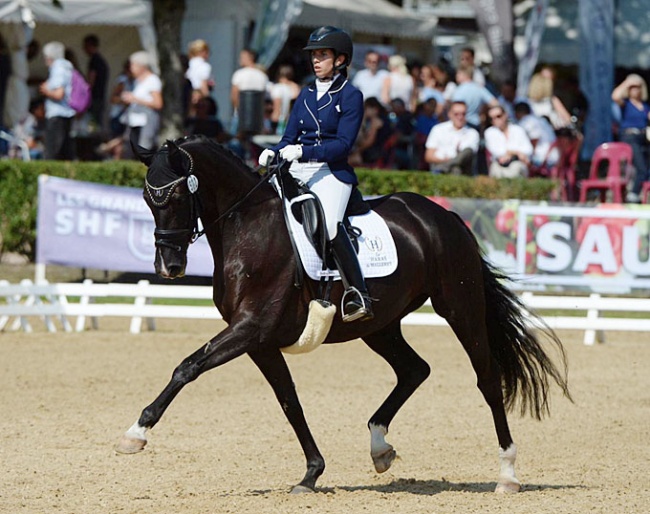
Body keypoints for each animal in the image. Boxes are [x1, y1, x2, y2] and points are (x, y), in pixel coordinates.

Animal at [116, 135, 568, 492]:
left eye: (176, 197)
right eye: (147, 199)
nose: (169, 266)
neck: (247, 229)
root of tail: (445, 215)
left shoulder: (251, 328)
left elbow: (187, 367)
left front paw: (135, 433)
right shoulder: (259, 341)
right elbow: (289, 401)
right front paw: (311, 474)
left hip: (460, 307)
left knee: (487, 379)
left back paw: (507, 474)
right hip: (379, 325)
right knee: (414, 369)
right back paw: (380, 447)